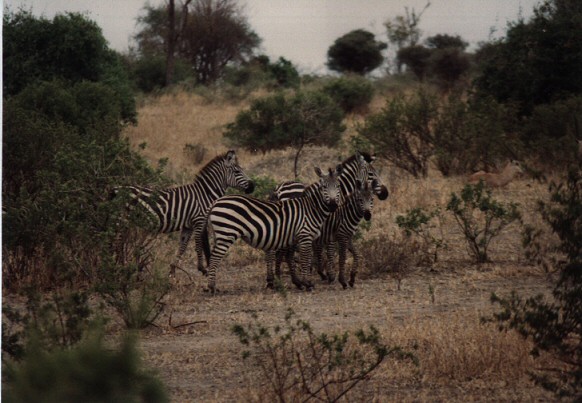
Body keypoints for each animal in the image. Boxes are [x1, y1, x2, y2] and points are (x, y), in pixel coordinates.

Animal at [112, 150, 253, 280]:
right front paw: (202, 269)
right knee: (118, 242)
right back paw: (119, 267)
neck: (204, 194)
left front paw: (172, 271)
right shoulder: (199, 220)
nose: (253, 186)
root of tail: (116, 189)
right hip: (124, 220)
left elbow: (183, 247)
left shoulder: (188, 226)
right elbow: (199, 245)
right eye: (237, 172)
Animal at [203, 166, 344, 296]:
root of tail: (215, 202)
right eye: (324, 187)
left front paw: (302, 282)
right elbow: (305, 260)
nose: (333, 205)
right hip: (227, 234)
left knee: (213, 256)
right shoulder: (305, 236)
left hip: (219, 234)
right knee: (215, 258)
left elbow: (299, 259)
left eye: (338, 186)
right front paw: (307, 283)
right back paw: (212, 287)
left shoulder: (298, 237)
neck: (312, 209)